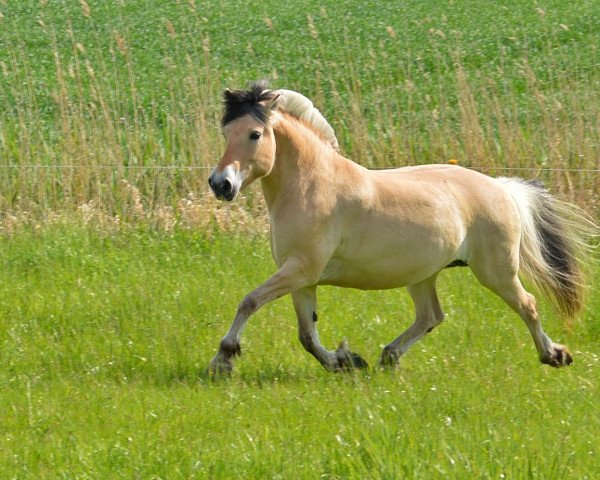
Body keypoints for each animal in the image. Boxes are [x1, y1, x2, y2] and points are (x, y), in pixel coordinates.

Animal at [209, 81, 592, 376]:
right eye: (226, 132)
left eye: (255, 134)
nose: (220, 184)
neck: (312, 185)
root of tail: (501, 187)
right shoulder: (302, 278)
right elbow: (306, 334)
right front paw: (344, 361)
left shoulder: (301, 270)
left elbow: (250, 301)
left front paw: (223, 359)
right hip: (423, 275)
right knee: (431, 316)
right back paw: (388, 356)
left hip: (496, 271)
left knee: (528, 304)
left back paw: (554, 355)